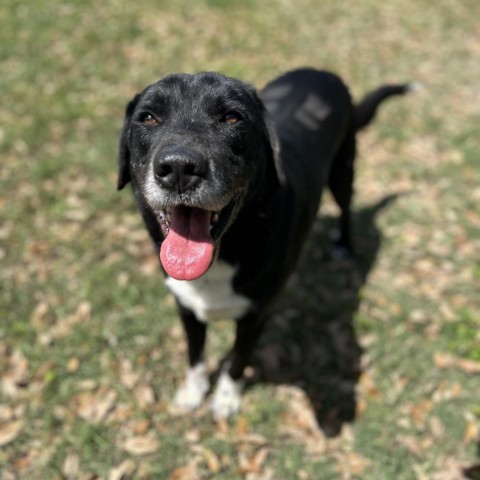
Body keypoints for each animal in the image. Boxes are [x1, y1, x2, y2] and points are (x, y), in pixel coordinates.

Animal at [118, 68, 410, 420]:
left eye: (232, 117)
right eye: (148, 117)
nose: (178, 167)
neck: (225, 253)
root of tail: (321, 72)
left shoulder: (255, 316)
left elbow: (238, 361)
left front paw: (226, 400)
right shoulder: (186, 307)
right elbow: (195, 353)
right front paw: (192, 392)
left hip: (344, 167)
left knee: (346, 207)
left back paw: (344, 245)